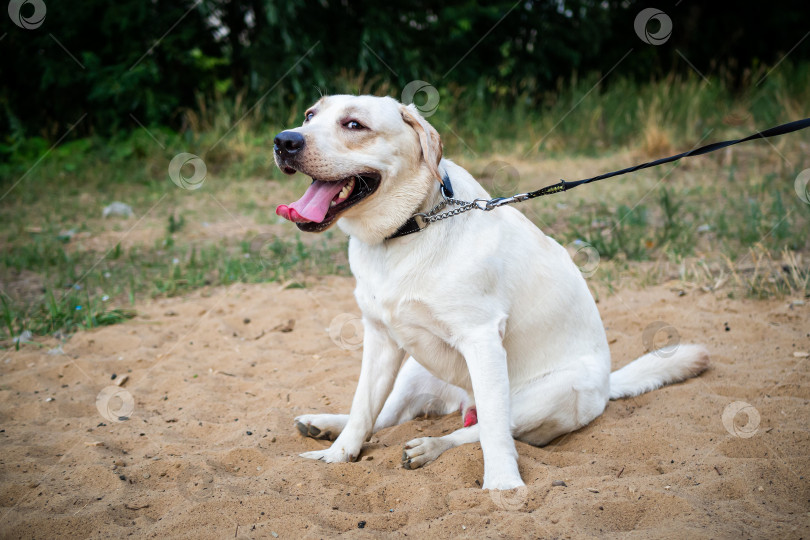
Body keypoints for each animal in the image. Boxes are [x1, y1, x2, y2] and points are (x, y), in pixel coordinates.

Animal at [274, 95, 708, 492]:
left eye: (354, 125)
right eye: (310, 115)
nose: (284, 140)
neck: (411, 227)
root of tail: (607, 386)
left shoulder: (481, 338)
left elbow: (494, 432)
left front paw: (502, 485)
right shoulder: (381, 338)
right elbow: (363, 408)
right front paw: (338, 456)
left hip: (548, 395)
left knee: (478, 429)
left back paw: (429, 447)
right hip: (414, 368)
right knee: (387, 416)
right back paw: (324, 426)